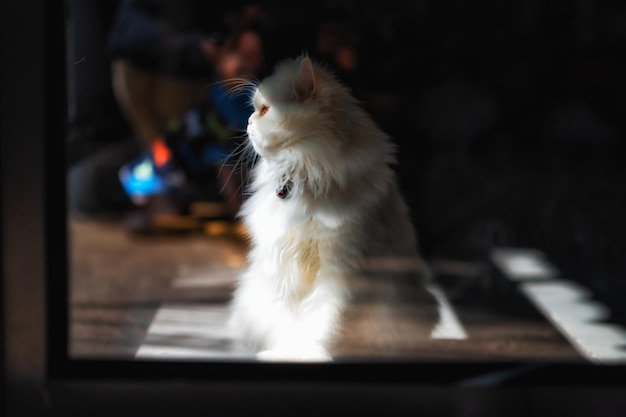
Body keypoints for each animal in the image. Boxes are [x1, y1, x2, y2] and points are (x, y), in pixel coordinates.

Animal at [227, 54, 436, 360]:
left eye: (264, 110)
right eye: (256, 110)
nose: (248, 121)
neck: (305, 175)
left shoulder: (341, 268)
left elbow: (325, 322)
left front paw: (313, 354)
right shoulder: (283, 266)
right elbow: (288, 321)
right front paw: (285, 353)